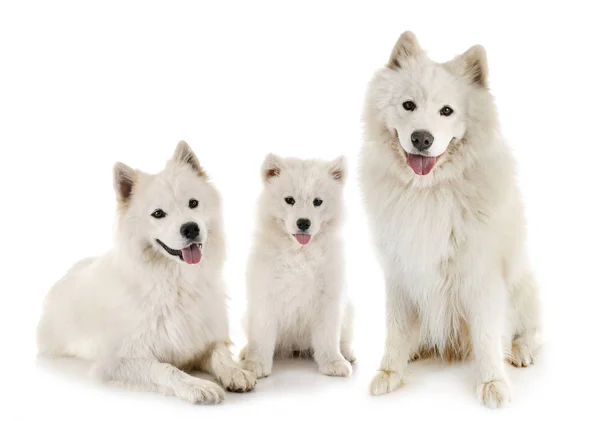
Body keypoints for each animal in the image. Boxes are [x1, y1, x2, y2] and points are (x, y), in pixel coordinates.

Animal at [35, 142, 255, 404]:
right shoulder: (118, 360)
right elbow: (166, 369)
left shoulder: (205, 341)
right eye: (158, 214)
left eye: (193, 203)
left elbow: (220, 354)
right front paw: (197, 385)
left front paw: (236, 372)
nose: (191, 228)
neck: (176, 283)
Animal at [239, 153, 354, 378]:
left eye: (318, 202)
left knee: (343, 337)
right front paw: (256, 365)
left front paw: (333, 363)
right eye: (289, 200)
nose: (303, 223)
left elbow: (328, 337)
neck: (300, 252)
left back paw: (347, 353)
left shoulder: (329, 298)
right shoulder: (264, 297)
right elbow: (262, 336)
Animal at [360, 32, 544, 406]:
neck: (428, 191)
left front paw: (492, 383)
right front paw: (390, 371)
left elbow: (487, 336)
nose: (421, 138)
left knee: (529, 331)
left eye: (447, 111)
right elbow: (396, 330)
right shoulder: (400, 271)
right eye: (408, 105)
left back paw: (520, 352)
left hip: (524, 286)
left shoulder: (481, 276)